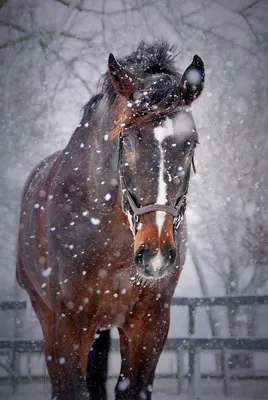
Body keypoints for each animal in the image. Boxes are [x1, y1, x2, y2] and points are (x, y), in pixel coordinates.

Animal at [16, 41, 205, 400]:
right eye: (127, 140)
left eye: (191, 143)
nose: (155, 255)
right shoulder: (69, 324)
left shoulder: (150, 324)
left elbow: (131, 388)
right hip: (47, 317)